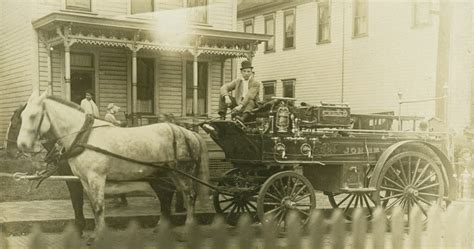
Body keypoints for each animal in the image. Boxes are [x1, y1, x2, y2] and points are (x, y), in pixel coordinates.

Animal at [17, 90, 209, 240]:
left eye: (33, 116)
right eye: (21, 117)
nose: (22, 145)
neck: (84, 137)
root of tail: (189, 133)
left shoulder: (96, 178)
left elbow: (99, 206)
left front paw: (98, 237)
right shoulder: (84, 180)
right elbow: (93, 206)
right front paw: (96, 233)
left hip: (181, 172)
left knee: (189, 195)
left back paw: (187, 229)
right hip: (164, 174)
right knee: (167, 195)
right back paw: (161, 227)